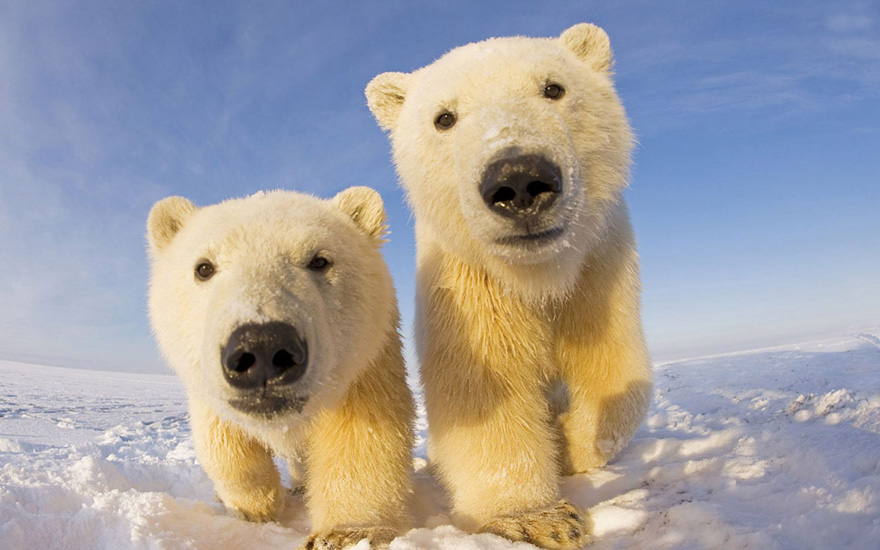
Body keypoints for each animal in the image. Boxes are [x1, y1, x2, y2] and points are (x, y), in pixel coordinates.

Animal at [146, 187, 415, 550]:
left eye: (319, 260)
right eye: (203, 267)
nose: (262, 347)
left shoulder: (367, 362)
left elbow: (364, 434)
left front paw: (346, 533)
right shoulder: (206, 384)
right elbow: (223, 441)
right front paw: (252, 507)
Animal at [365, 23, 652, 549]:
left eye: (554, 88)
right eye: (444, 117)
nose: (519, 180)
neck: (538, 276)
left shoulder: (599, 270)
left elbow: (615, 369)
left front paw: (567, 443)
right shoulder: (471, 287)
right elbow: (486, 387)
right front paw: (538, 518)